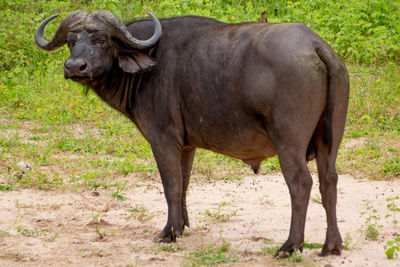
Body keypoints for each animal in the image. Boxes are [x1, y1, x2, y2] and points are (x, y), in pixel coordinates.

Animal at [34, 10, 348, 258]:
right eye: (71, 42)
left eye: (101, 40)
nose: (75, 67)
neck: (150, 64)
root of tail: (316, 45)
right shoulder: (186, 146)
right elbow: (184, 183)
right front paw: (182, 226)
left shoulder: (162, 140)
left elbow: (171, 186)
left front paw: (168, 232)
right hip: (328, 141)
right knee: (329, 181)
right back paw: (331, 245)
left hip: (288, 143)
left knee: (301, 184)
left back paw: (290, 245)